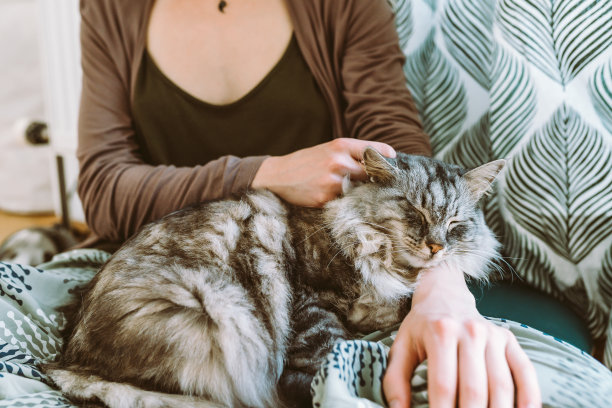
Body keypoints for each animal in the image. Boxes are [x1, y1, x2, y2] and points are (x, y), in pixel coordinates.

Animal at [41, 149, 502, 408]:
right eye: (414, 212)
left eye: (456, 223)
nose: (436, 247)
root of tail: (67, 360)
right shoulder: (312, 303)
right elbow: (328, 355)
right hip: (223, 312)